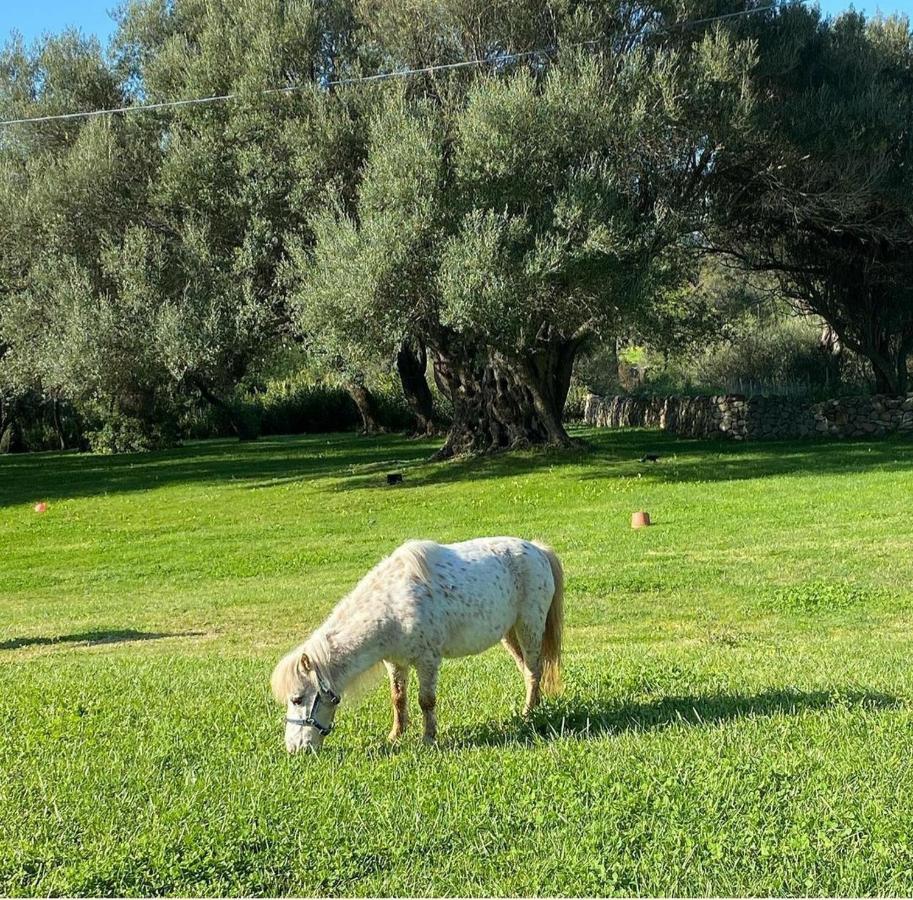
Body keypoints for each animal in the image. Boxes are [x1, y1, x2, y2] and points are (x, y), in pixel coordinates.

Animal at [268, 536, 564, 756]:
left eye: (297, 699)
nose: (294, 748)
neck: (392, 605)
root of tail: (537, 549)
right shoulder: (395, 663)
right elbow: (398, 699)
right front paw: (395, 736)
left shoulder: (427, 661)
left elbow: (426, 701)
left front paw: (428, 738)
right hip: (509, 634)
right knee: (527, 670)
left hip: (529, 627)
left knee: (534, 670)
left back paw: (528, 714)